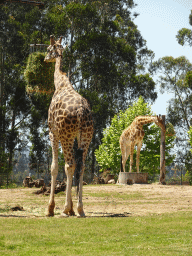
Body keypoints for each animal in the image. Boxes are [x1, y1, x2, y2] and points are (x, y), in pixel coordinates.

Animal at [44, 35, 94, 217]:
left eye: (48, 49)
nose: (45, 59)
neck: (60, 84)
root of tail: (80, 112)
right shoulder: (73, 137)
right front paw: (72, 208)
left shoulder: (53, 132)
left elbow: (54, 167)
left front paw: (50, 208)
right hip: (86, 136)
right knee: (81, 166)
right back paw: (80, 208)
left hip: (65, 135)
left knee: (70, 165)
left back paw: (65, 209)